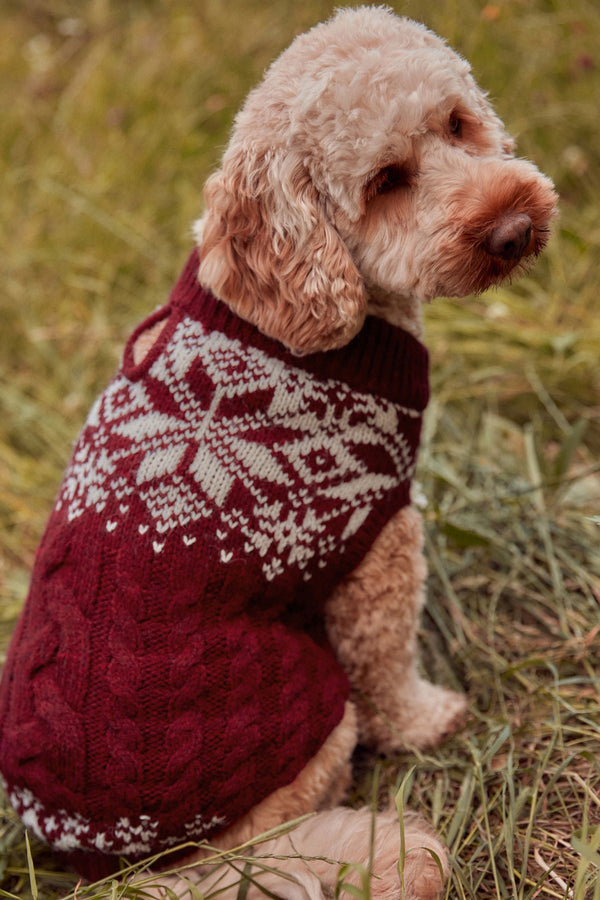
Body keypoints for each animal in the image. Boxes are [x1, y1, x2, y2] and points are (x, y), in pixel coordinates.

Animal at [0, 7, 556, 900]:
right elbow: (386, 662)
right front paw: (426, 719)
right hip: (307, 714)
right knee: (277, 836)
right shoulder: (384, 542)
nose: (513, 231)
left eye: (457, 124)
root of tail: (125, 870)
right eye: (386, 181)